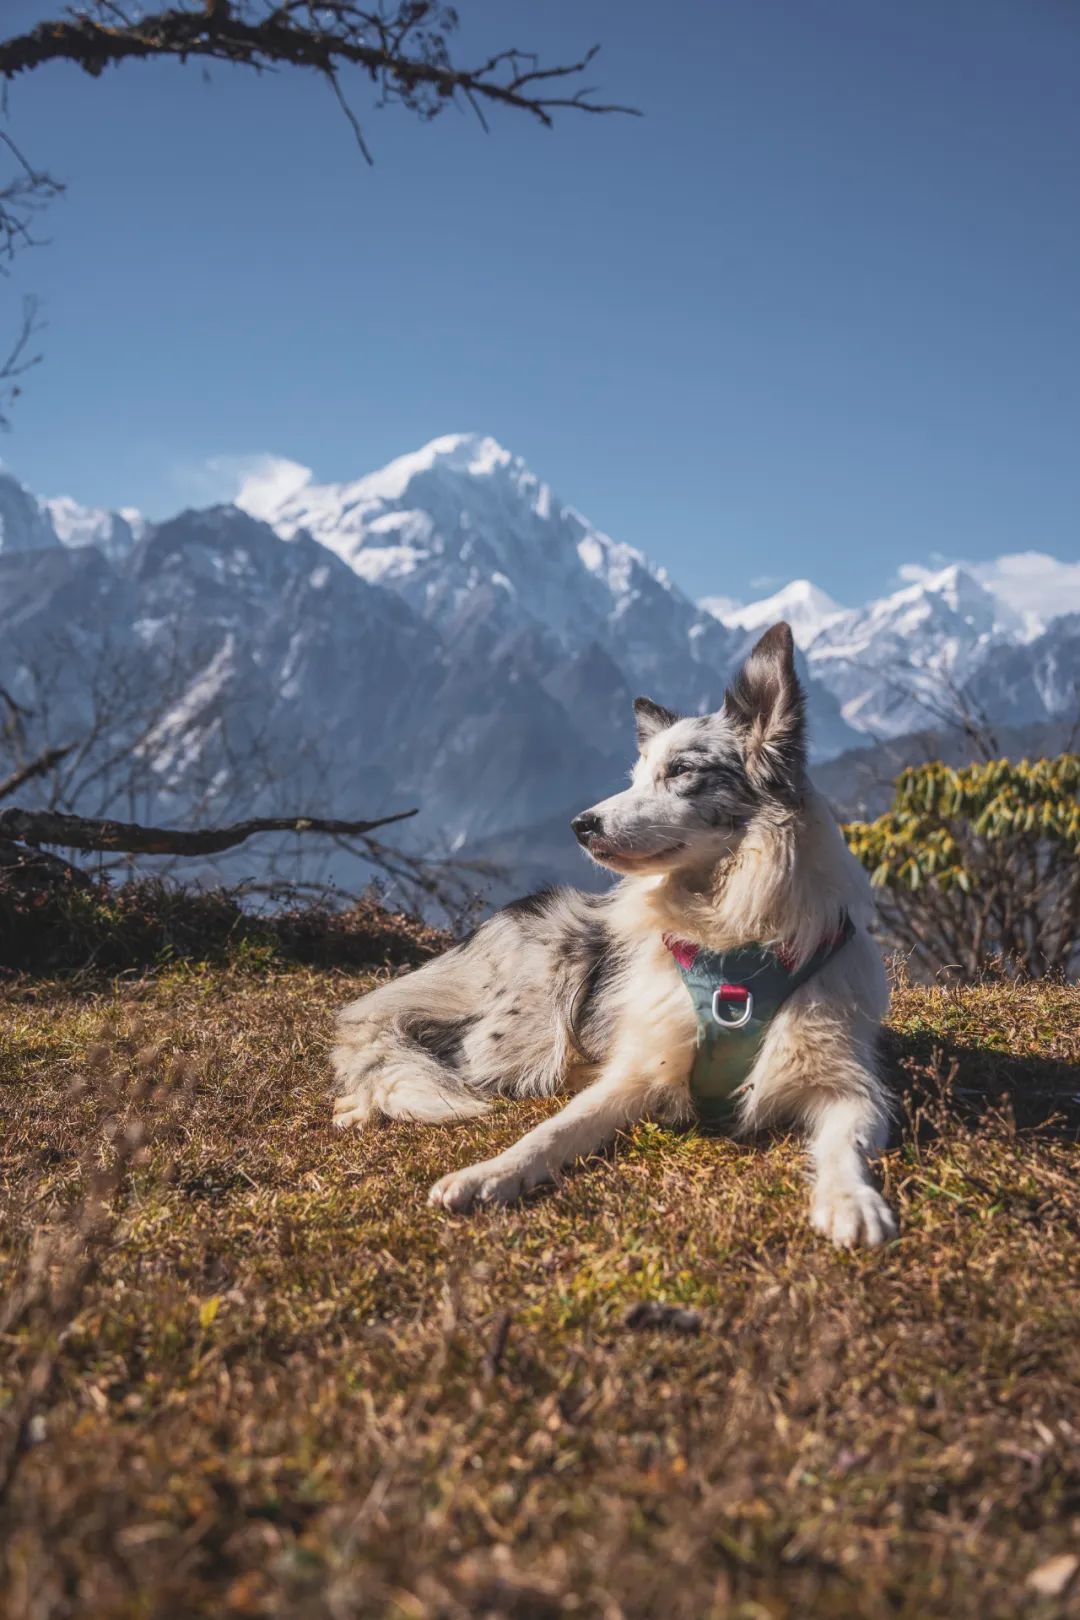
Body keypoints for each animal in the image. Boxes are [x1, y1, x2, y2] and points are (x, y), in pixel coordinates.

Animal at [333, 625, 900, 1244]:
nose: (580, 825)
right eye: (634, 777)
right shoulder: (639, 1066)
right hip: (526, 1025)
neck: (730, 929)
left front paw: (850, 1201)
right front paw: (488, 1175)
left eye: (679, 771)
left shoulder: (843, 1077)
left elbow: (847, 1140)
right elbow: (553, 1130)